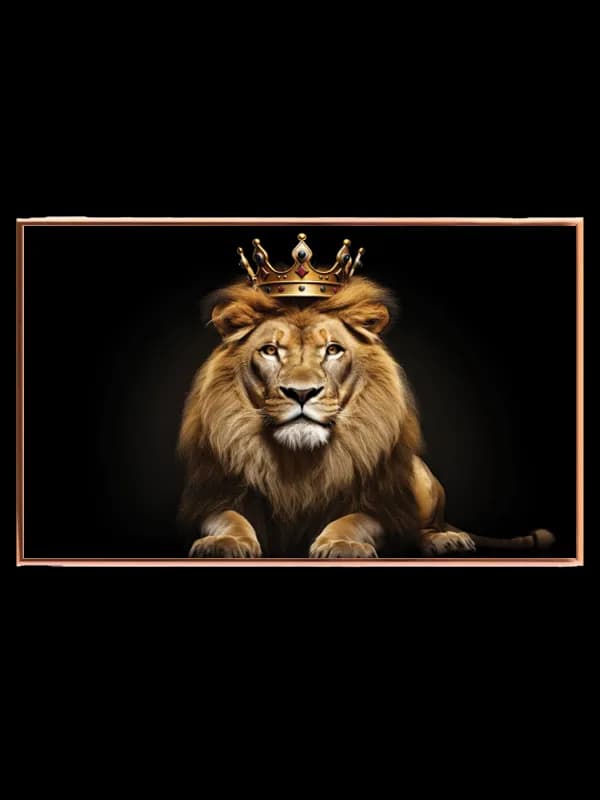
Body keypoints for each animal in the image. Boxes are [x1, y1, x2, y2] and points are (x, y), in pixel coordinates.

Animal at [178, 275, 554, 558]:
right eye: (270, 350)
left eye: (333, 350)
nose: (301, 393)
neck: (298, 459)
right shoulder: (216, 494)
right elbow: (229, 518)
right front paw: (226, 542)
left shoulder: (380, 503)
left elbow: (355, 519)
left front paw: (341, 544)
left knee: (423, 527)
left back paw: (445, 539)